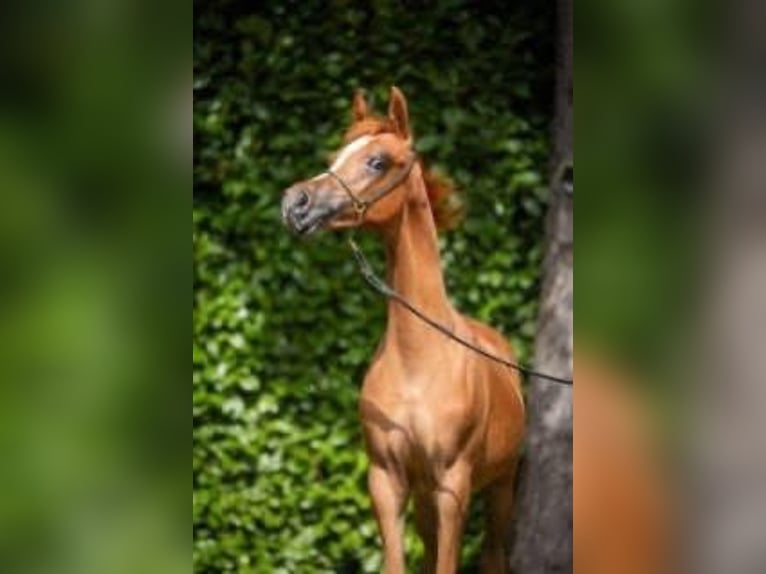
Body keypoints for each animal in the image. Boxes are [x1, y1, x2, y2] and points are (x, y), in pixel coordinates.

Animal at [282, 87, 525, 574]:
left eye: (377, 161)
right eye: (336, 156)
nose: (295, 203)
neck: (419, 358)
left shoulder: (453, 484)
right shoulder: (386, 480)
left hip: (499, 487)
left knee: (493, 555)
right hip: (426, 498)